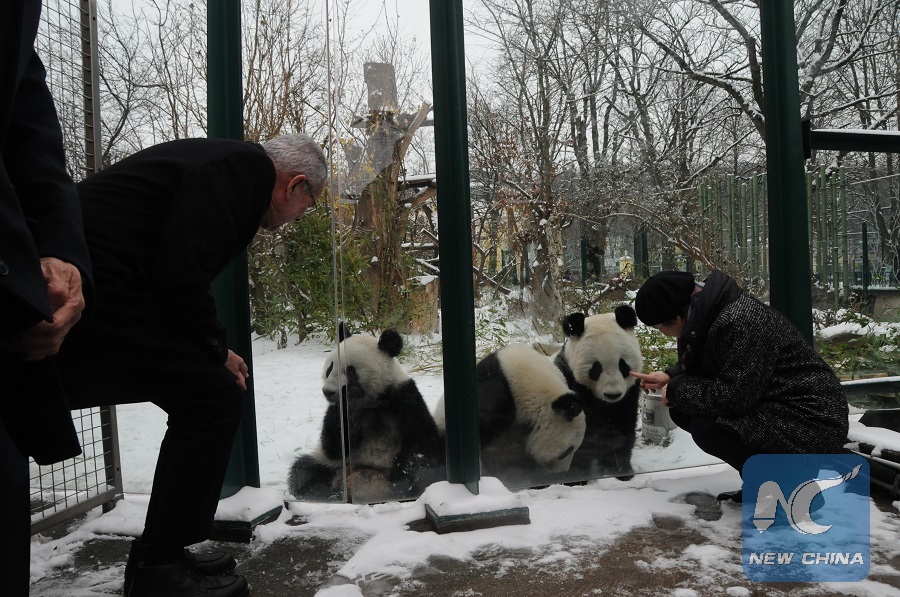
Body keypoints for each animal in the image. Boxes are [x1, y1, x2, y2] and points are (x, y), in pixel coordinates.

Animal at [287, 325, 445, 502]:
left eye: (351, 371)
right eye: (330, 368)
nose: (328, 392)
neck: (373, 400)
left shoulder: (404, 398)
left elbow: (422, 444)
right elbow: (333, 446)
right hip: (332, 464)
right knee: (304, 470)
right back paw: (329, 494)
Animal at [552, 304, 644, 480]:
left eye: (623, 365)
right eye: (596, 368)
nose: (613, 394)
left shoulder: (629, 395)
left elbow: (623, 427)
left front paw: (621, 471)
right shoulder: (569, 381)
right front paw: (577, 478)